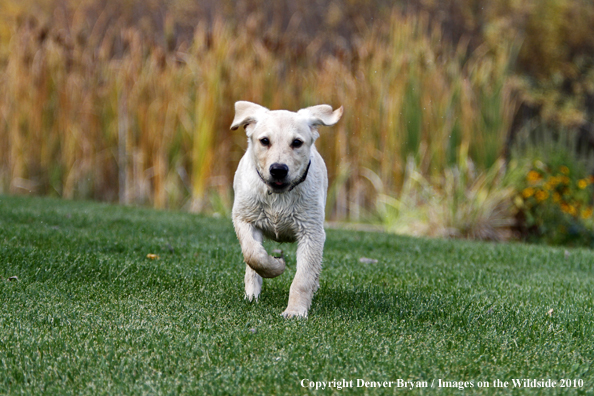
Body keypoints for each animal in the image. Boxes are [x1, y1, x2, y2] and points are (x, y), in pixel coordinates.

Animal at [230, 102, 342, 318]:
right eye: (264, 141)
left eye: (297, 143)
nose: (278, 169)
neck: (278, 196)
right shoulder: (243, 218)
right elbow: (253, 255)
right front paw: (276, 265)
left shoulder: (312, 232)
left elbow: (303, 278)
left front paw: (295, 311)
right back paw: (251, 295)